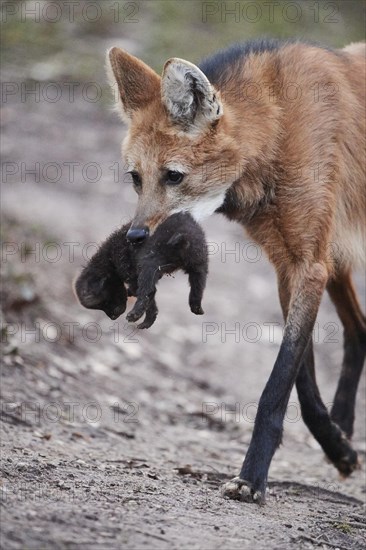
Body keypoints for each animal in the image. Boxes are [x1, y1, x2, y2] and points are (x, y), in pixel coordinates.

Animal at [73, 213, 209, 330]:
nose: (113, 317)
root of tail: (183, 236)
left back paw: (135, 315)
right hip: (199, 259)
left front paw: (146, 319)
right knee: (199, 281)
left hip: (149, 264)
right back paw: (196, 306)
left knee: (147, 292)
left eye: (104, 302)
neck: (109, 258)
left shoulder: (130, 272)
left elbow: (147, 295)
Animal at [106, 37, 366, 504]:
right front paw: (338, 447)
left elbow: (277, 386)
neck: (277, 132)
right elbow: (302, 382)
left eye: (174, 176)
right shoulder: (292, 266)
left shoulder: (310, 266)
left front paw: (251, 478)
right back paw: (345, 426)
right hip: (338, 259)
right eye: (136, 178)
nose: (135, 236)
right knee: (360, 332)